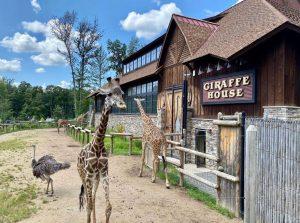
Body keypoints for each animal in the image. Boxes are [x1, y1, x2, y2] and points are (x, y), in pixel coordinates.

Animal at [77, 77, 126, 223]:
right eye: (109, 94)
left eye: (122, 93)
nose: (122, 105)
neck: (98, 144)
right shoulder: (88, 174)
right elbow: (88, 205)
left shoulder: (104, 172)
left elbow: (108, 207)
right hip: (83, 174)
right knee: (87, 200)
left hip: (96, 177)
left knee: (92, 197)